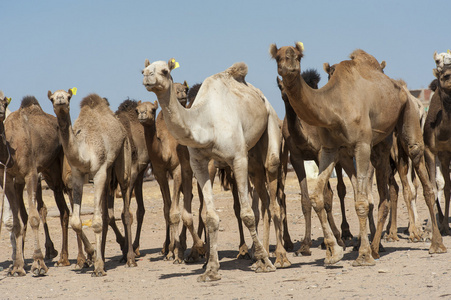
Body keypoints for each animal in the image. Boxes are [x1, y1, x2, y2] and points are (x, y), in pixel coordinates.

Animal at [0, 96, 74, 276]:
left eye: (4, 102)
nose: (0, 111)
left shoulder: (31, 174)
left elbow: (34, 218)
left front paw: (38, 263)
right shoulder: (10, 179)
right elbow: (18, 221)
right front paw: (17, 266)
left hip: (63, 162)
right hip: (51, 175)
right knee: (63, 210)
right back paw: (63, 258)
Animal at [48, 91, 136, 276]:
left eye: (68, 96)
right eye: (52, 98)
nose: (60, 100)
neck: (85, 151)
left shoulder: (99, 172)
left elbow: (95, 222)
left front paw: (99, 266)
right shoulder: (76, 176)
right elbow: (76, 222)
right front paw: (93, 255)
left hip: (123, 158)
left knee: (125, 208)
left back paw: (130, 259)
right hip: (108, 173)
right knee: (107, 215)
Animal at [141, 58, 282, 282]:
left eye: (164, 71)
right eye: (143, 70)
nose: (148, 77)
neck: (206, 125)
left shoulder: (238, 158)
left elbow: (247, 214)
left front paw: (265, 261)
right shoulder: (198, 163)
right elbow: (210, 216)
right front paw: (211, 270)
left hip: (270, 123)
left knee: (272, 174)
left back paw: (277, 258)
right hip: (252, 157)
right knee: (265, 198)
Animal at [270, 43, 446, 266]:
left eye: (298, 55)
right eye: (277, 57)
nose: (288, 66)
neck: (334, 105)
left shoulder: (360, 145)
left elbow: (361, 202)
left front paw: (362, 255)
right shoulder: (329, 149)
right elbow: (317, 197)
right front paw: (333, 252)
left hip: (408, 117)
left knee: (423, 178)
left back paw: (435, 243)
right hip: (381, 145)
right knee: (385, 194)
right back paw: (377, 247)